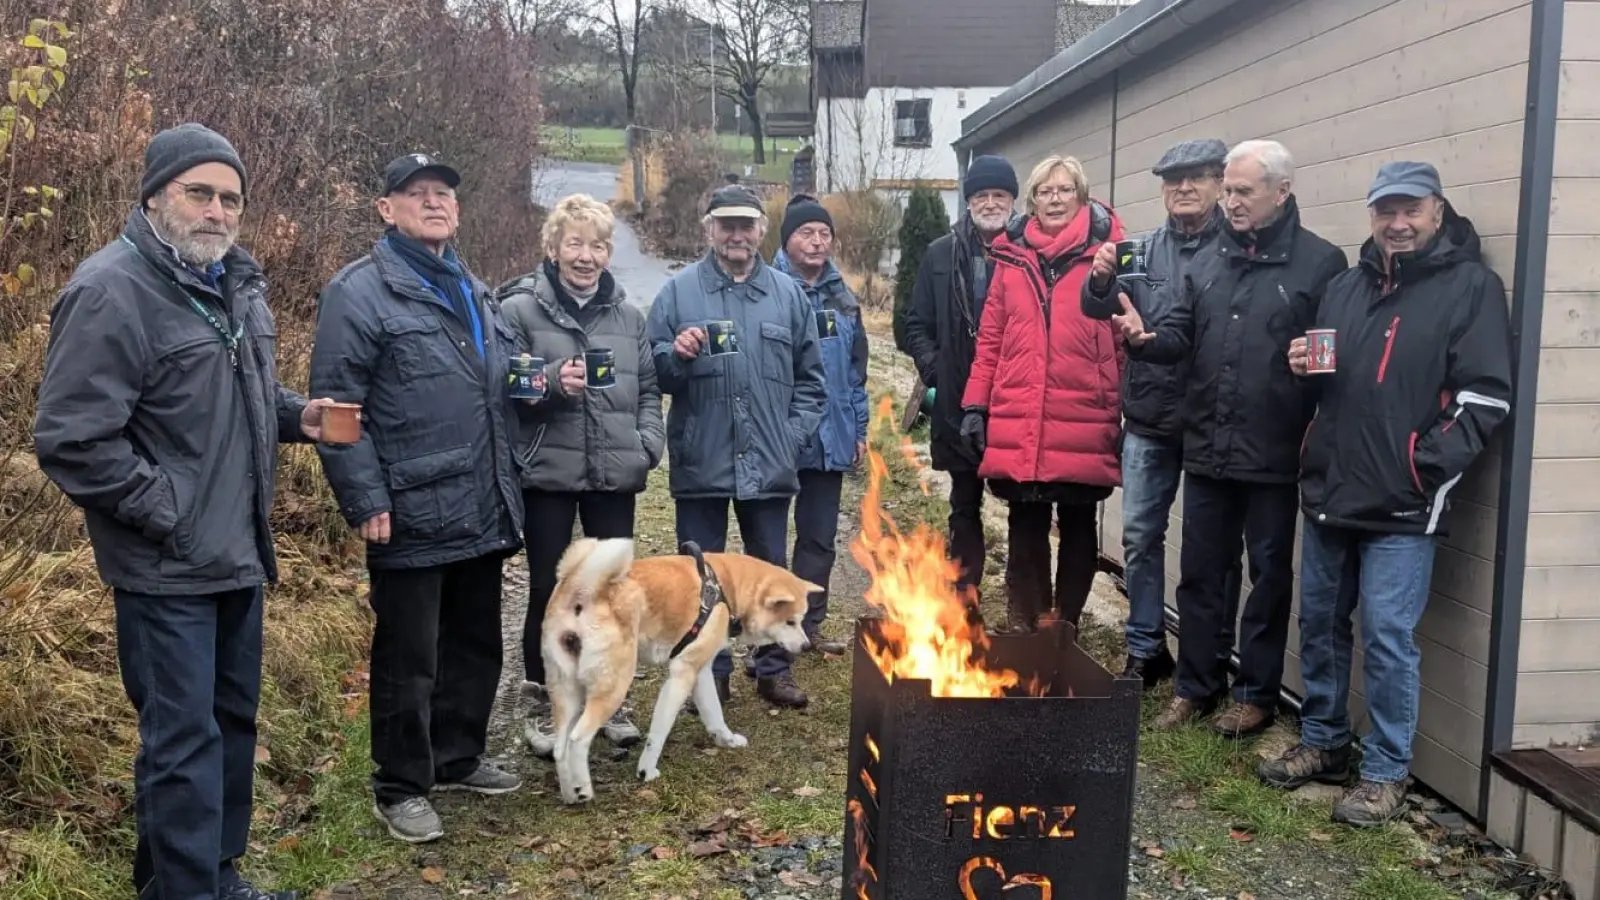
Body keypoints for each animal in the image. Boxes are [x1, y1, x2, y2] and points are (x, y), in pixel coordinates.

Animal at [540, 531, 812, 797]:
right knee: (577, 740)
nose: (807, 646)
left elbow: (714, 713)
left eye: (801, 620)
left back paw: (571, 794)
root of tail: (584, 589)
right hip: (613, 687)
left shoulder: (701, 672)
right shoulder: (681, 676)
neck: (725, 587)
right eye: (790, 622)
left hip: (566, 690)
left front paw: (726, 740)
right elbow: (658, 734)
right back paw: (584, 790)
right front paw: (646, 771)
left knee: (560, 748)